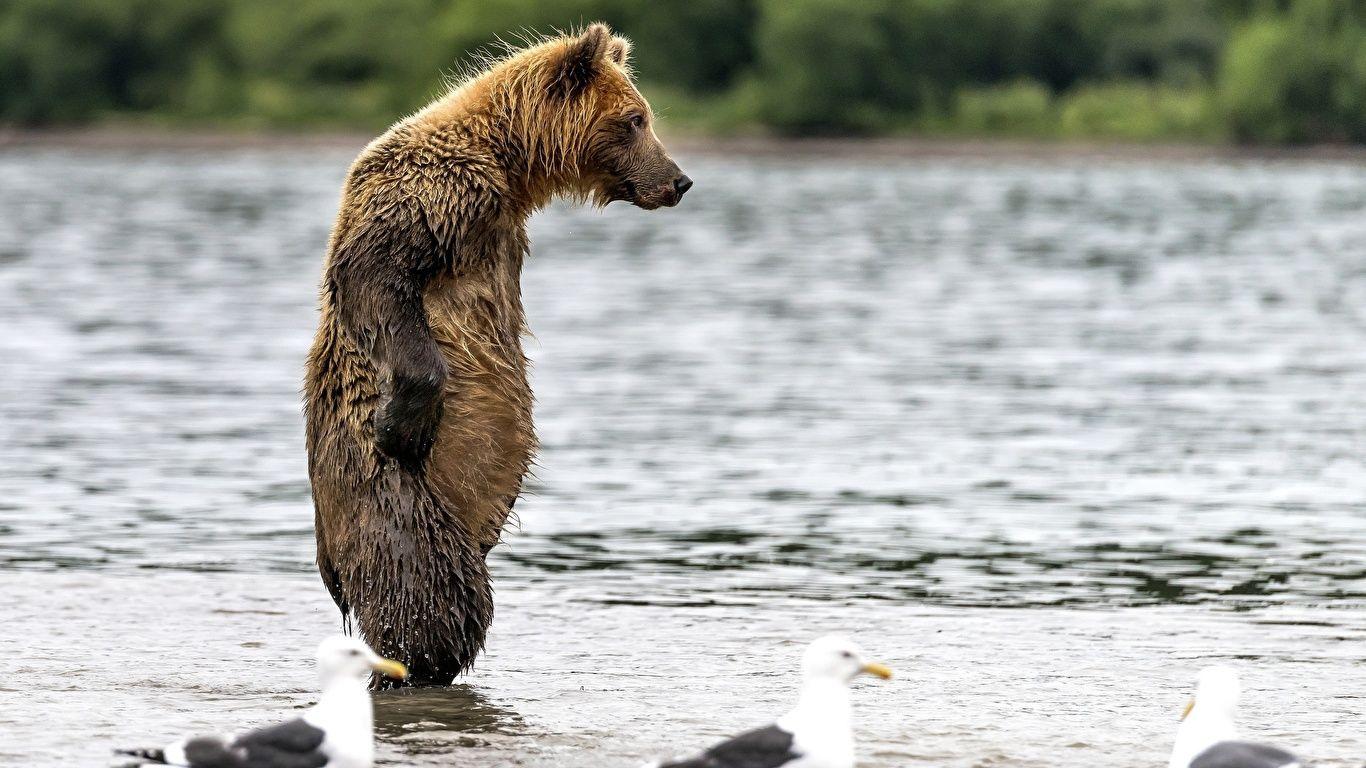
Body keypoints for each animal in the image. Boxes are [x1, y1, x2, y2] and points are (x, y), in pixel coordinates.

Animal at [304, 23, 690, 687]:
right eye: (635, 119)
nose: (679, 180)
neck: (509, 168)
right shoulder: (437, 194)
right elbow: (376, 275)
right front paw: (402, 423)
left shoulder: (500, 229)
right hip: (391, 504)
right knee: (432, 599)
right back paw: (410, 665)